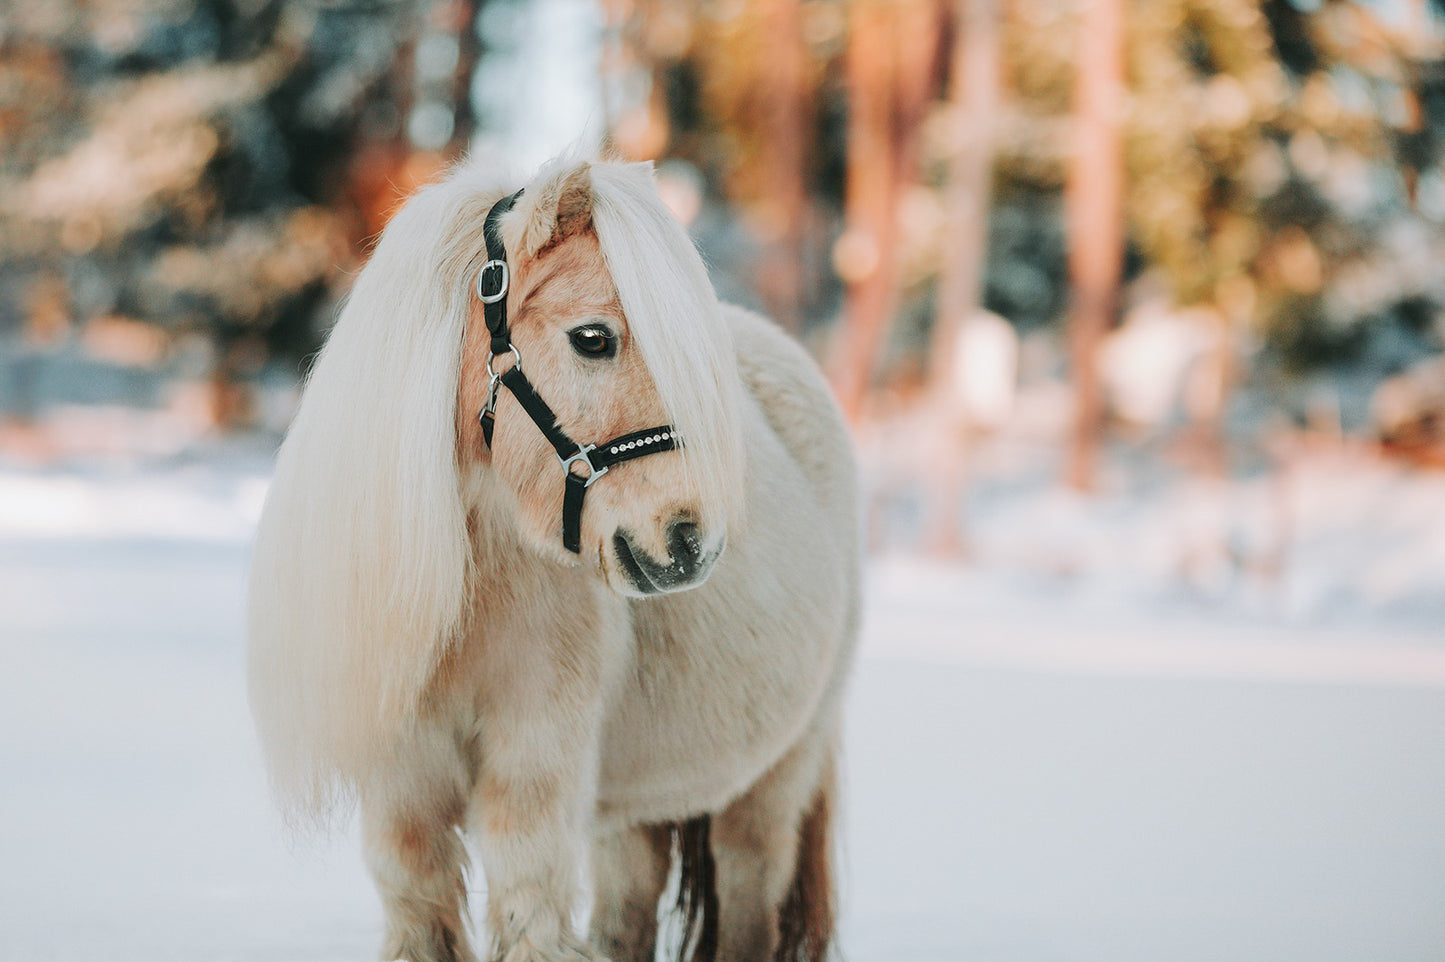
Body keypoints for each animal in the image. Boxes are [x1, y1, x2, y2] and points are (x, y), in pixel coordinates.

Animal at [247, 157, 855, 959]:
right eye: (592, 337)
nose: (689, 543)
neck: (465, 597)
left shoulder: (535, 766)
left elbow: (530, 912)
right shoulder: (402, 792)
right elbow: (419, 908)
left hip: (772, 782)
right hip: (633, 815)